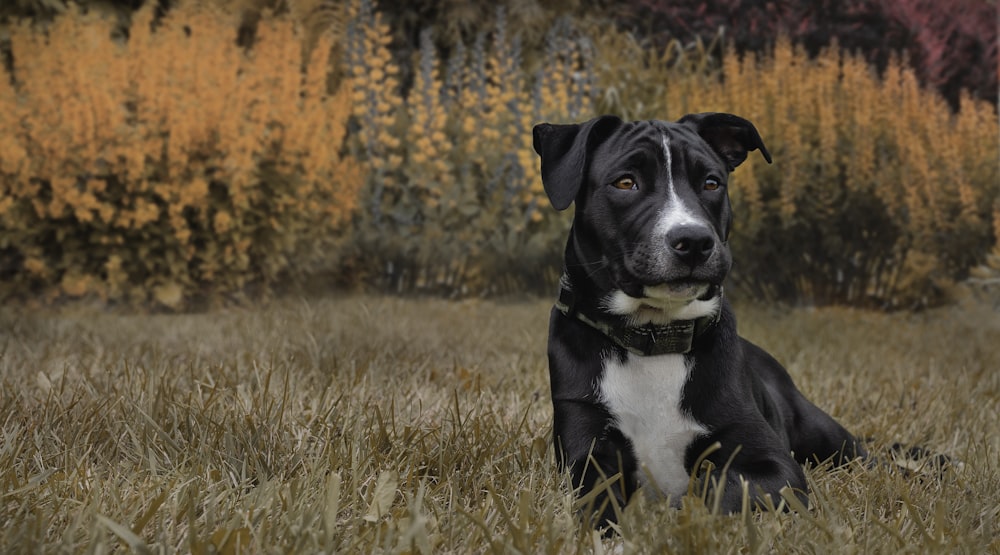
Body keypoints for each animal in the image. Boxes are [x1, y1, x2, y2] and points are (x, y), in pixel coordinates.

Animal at [532, 113, 868, 528]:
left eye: (711, 183)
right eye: (625, 182)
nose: (693, 241)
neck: (653, 338)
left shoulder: (774, 465)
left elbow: (720, 487)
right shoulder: (587, 452)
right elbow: (600, 505)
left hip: (826, 435)